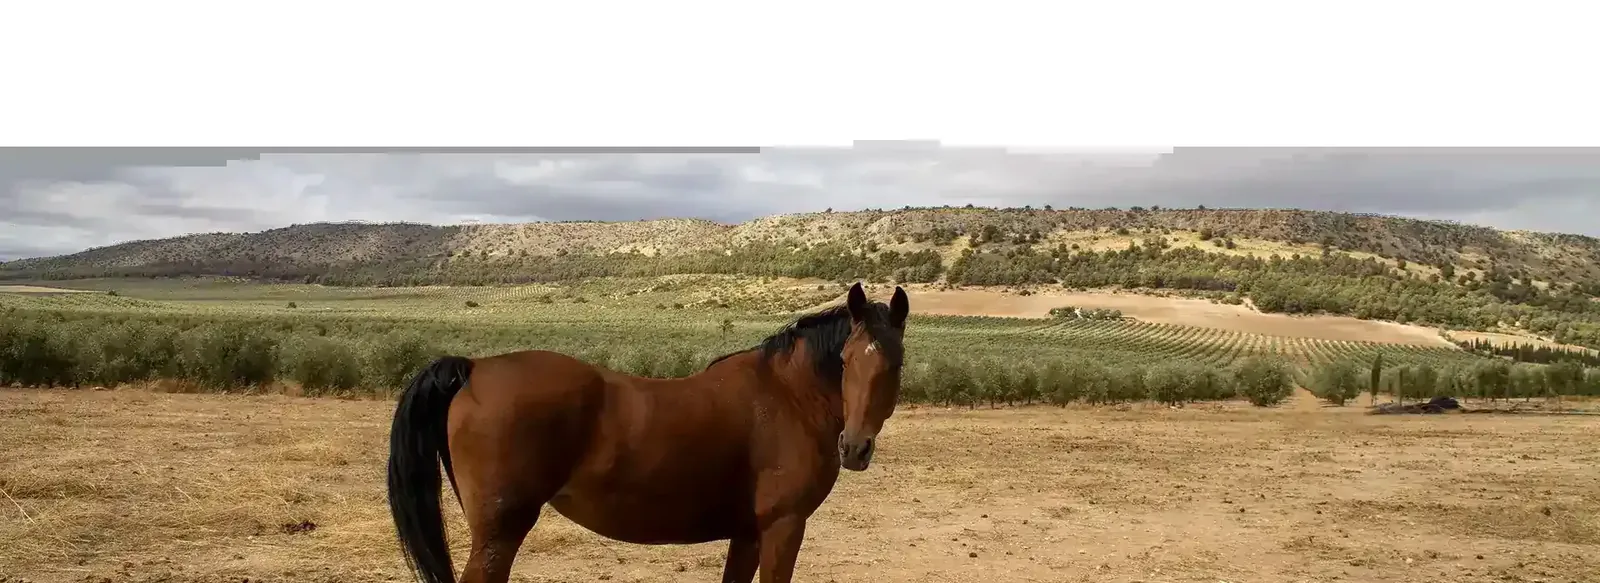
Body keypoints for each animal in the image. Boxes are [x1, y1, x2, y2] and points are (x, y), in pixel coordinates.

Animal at [386, 282, 911, 583]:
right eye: (845, 360)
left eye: (895, 363)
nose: (855, 448)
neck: (787, 396)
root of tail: (475, 368)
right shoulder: (783, 527)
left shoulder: (747, 534)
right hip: (499, 534)